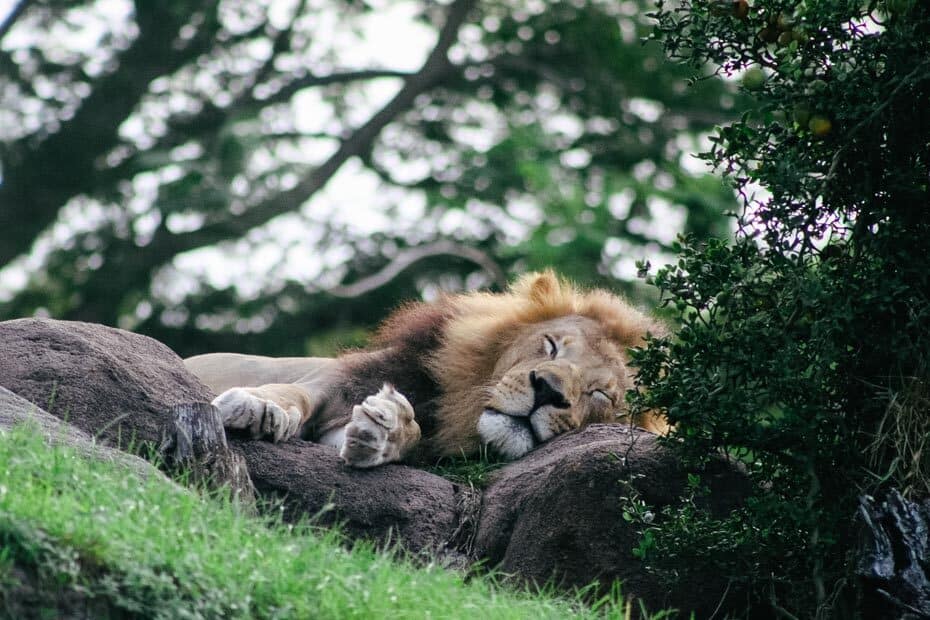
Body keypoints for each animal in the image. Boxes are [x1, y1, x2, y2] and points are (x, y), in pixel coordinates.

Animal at [183, 268, 660, 468]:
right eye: (552, 346)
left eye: (601, 394)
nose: (547, 389)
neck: (452, 404)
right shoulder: (333, 381)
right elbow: (295, 393)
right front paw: (261, 407)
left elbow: (403, 437)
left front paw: (383, 430)